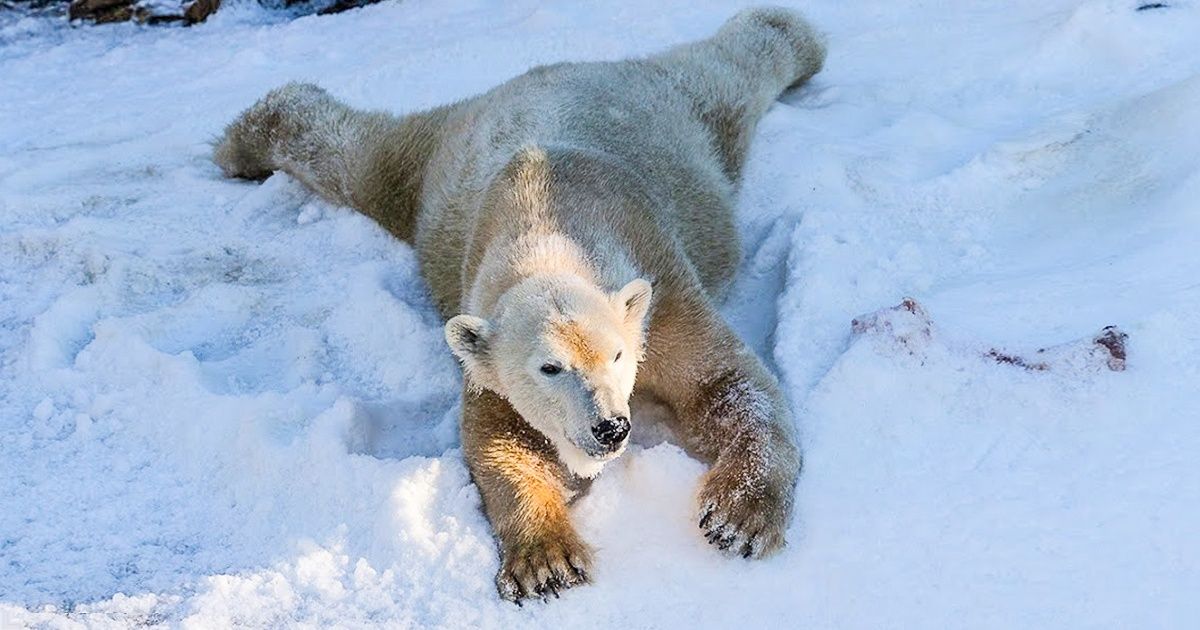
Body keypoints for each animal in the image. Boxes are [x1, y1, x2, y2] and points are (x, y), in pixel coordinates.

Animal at [213, 6, 826, 602]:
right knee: (362, 161)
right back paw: (244, 141)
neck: (549, 225)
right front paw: (546, 561)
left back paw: (796, 38)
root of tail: (540, 76)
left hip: (674, 123)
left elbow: (727, 382)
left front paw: (738, 517)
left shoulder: (663, 289)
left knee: (732, 73)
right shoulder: (484, 339)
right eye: (549, 368)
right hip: (440, 169)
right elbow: (500, 437)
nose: (611, 428)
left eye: (618, 355)